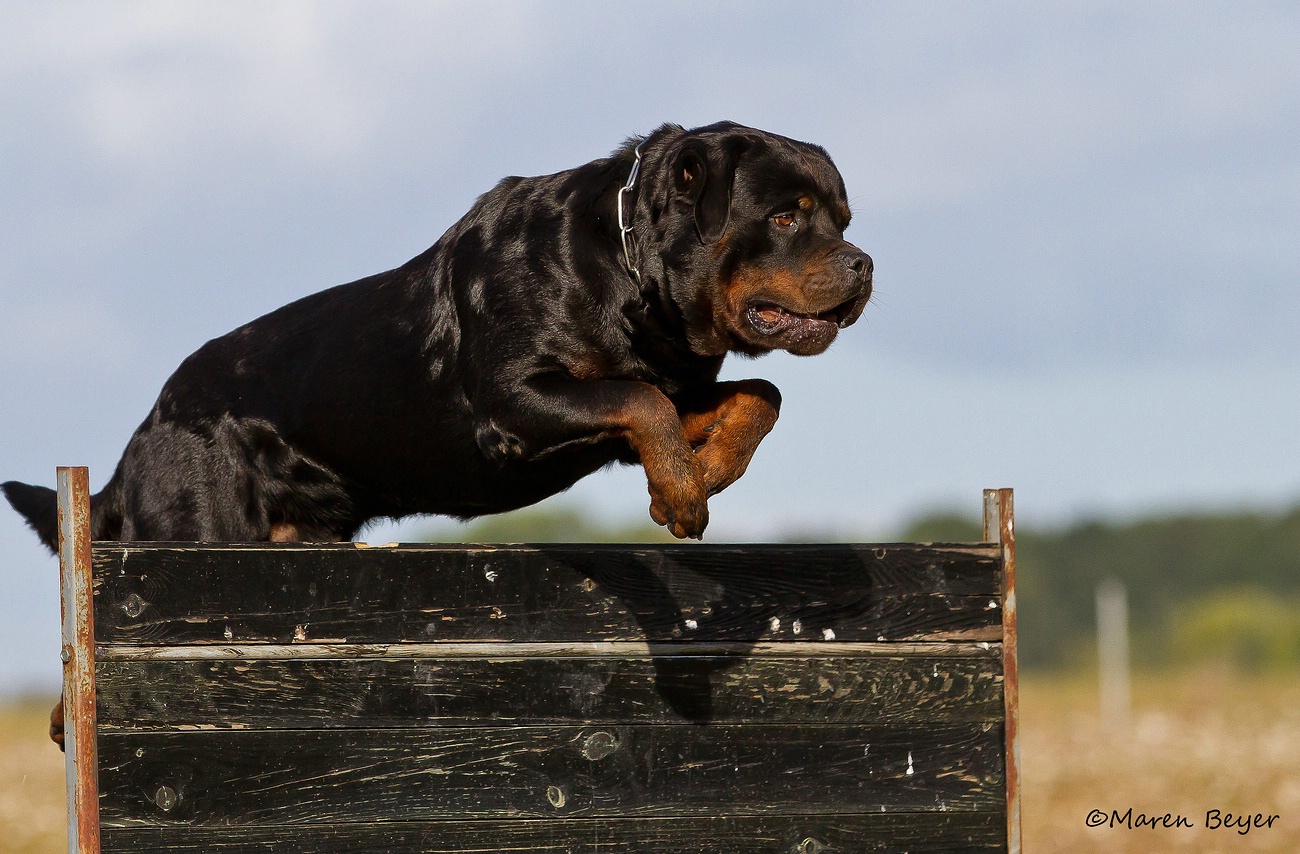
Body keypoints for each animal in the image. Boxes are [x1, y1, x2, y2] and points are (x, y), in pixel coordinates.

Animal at [5, 119, 873, 545]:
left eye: (842, 219)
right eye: (785, 217)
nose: (864, 264)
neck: (627, 273)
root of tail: (141, 436)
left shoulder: (641, 394)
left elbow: (758, 393)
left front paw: (704, 474)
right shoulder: (517, 402)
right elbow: (645, 402)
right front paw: (684, 497)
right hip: (199, 529)